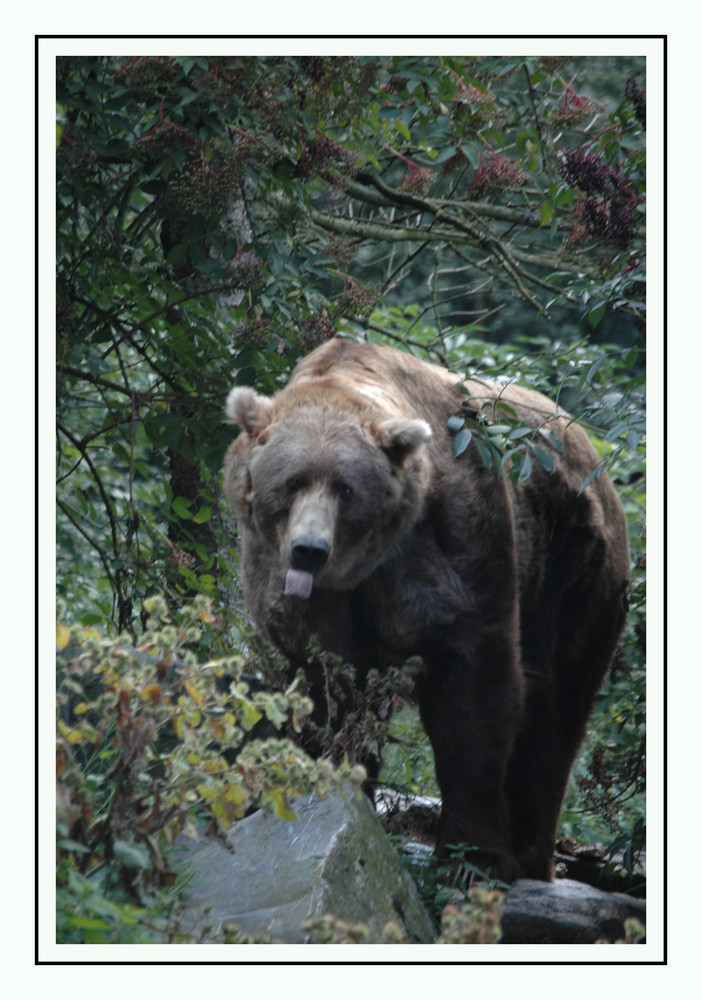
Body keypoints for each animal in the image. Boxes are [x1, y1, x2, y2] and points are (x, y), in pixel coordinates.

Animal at [226, 338, 632, 884]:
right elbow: (323, 689)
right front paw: (332, 791)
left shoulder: (451, 545)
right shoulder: (296, 591)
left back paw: (531, 854)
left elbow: (475, 692)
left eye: (345, 488)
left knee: (557, 704)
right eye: (292, 481)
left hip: (573, 567)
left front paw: (472, 856)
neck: (358, 570)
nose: (309, 550)